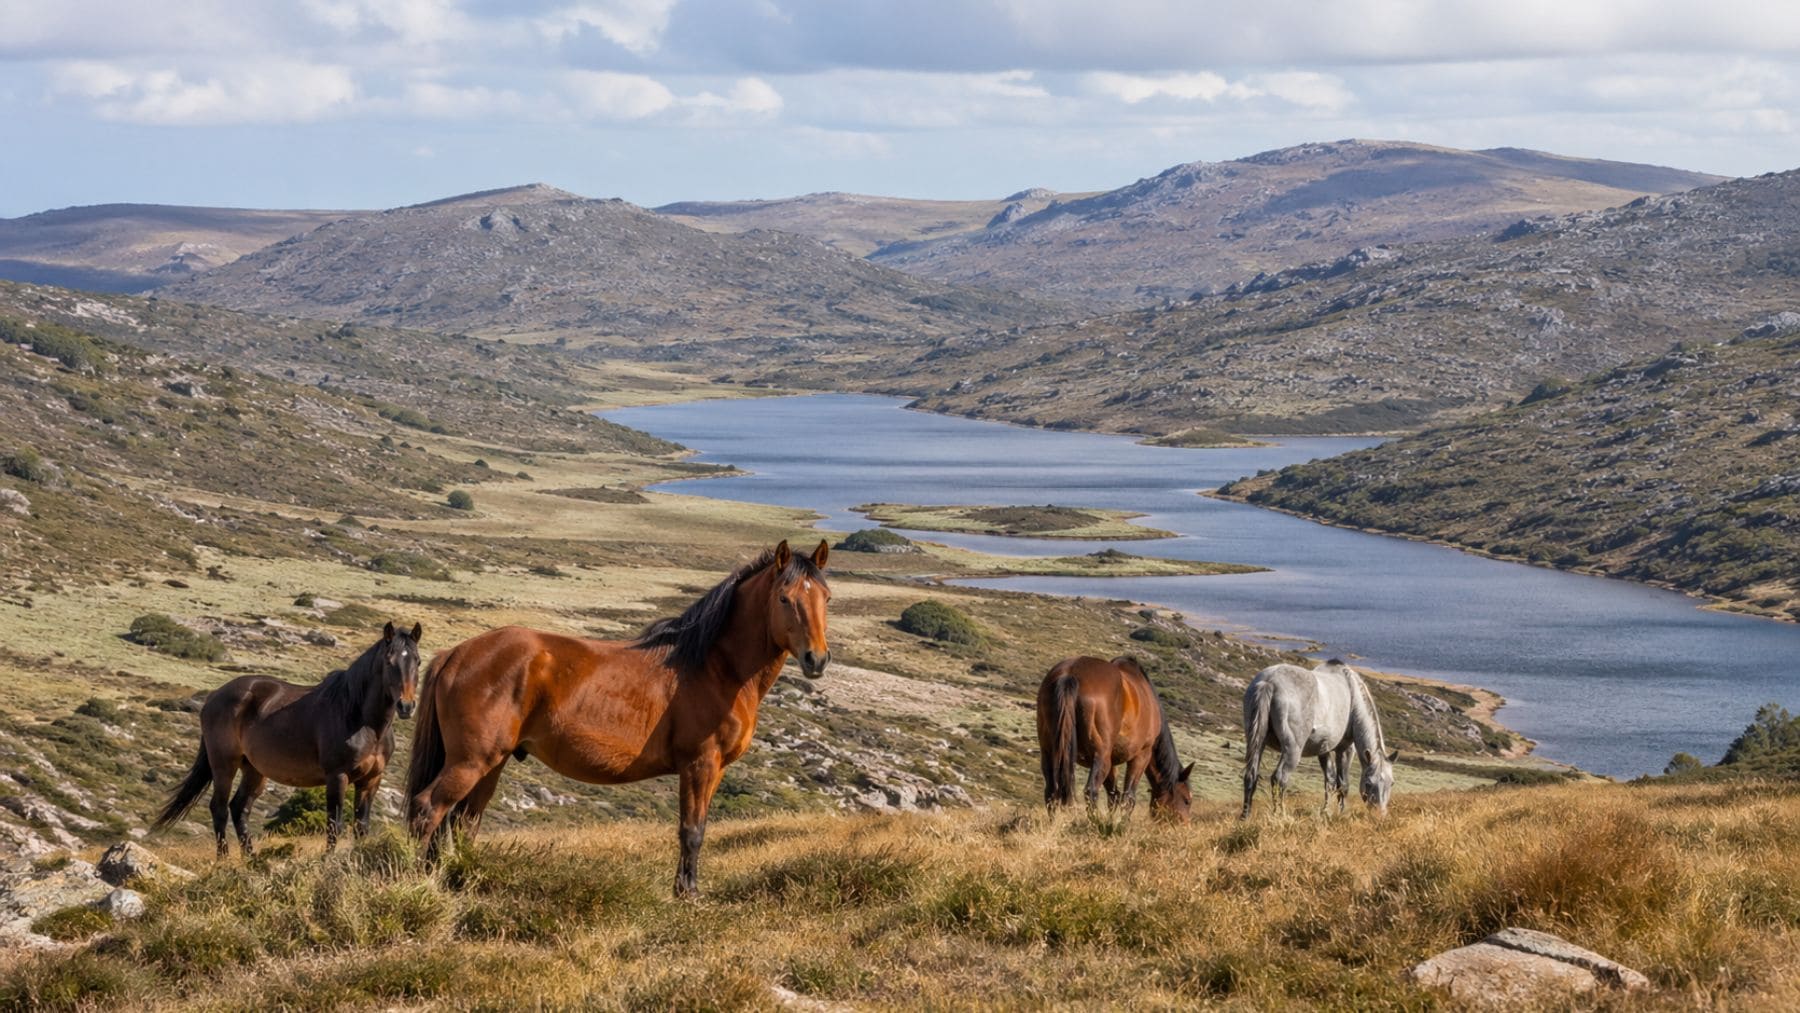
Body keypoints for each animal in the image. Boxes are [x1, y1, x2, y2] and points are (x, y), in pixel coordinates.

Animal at [154, 621, 422, 855]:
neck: (362, 720)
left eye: (417, 662)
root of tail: (213, 697)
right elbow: (334, 824)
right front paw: (328, 859)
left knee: (239, 808)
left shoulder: (371, 780)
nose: (406, 706)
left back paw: (251, 859)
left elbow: (361, 826)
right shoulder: (337, 776)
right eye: (389, 661)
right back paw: (224, 860)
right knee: (219, 808)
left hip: (254, 769)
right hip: (224, 765)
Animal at [406, 539, 831, 898]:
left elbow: (697, 828)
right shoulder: (700, 764)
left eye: (826, 597)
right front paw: (687, 895)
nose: (817, 659)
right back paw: (417, 882)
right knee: (428, 810)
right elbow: (691, 830)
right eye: (784, 598)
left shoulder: (714, 769)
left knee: (463, 822)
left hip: (492, 763)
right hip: (470, 761)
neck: (714, 666)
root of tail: (455, 654)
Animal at [1037, 655, 1194, 823]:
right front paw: (1122, 824)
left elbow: (1114, 795)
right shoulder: (1142, 755)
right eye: (1186, 800)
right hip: (1100, 756)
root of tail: (1070, 674)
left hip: (1049, 752)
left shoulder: (1112, 761)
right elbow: (1129, 797)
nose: (1186, 825)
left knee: (1052, 791)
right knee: (1091, 791)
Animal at [1240, 659, 1397, 819]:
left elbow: (1330, 781)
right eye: (1368, 783)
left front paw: (1326, 811)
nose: (1380, 815)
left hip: (1258, 743)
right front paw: (1341, 813)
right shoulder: (1345, 749)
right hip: (1292, 750)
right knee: (1279, 778)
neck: (1354, 696)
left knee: (1251, 776)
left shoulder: (1323, 749)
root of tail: (1269, 682)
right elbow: (1343, 785)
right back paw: (1280, 815)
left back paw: (1245, 817)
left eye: (1391, 783)